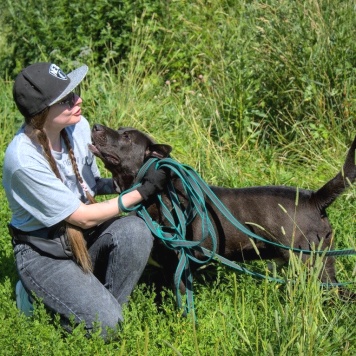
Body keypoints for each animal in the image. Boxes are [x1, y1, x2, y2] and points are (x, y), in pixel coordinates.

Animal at [89, 125, 356, 294]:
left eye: (126, 137)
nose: (96, 126)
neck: (158, 195)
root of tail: (314, 199)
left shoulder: (180, 266)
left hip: (313, 266)